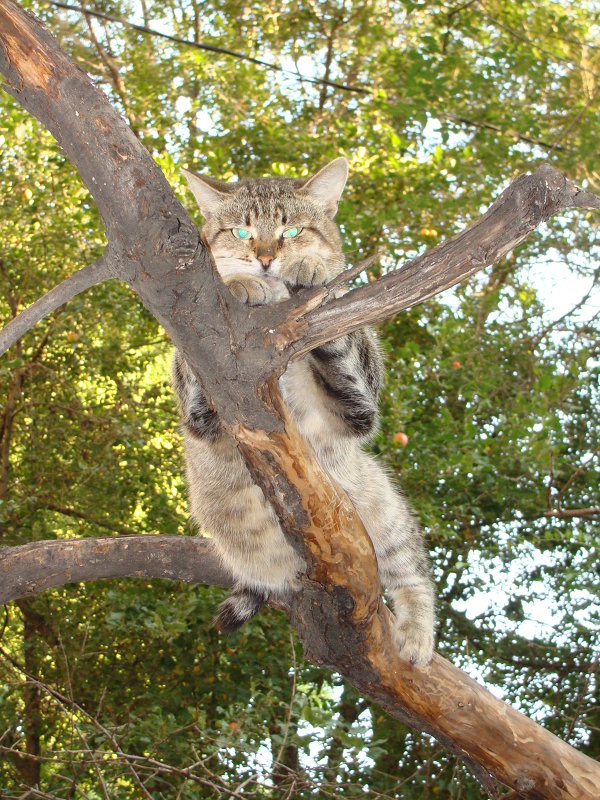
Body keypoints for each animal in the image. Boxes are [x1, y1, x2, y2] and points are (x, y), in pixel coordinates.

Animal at [171, 156, 434, 664]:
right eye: (240, 232)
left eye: (291, 231)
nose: (266, 258)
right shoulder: (202, 414)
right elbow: (192, 358)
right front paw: (240, 282)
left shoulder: (358, 405)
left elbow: (344, 347)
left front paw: (310, 269)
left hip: (383, 506)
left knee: (413, 573)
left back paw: (416, 632)